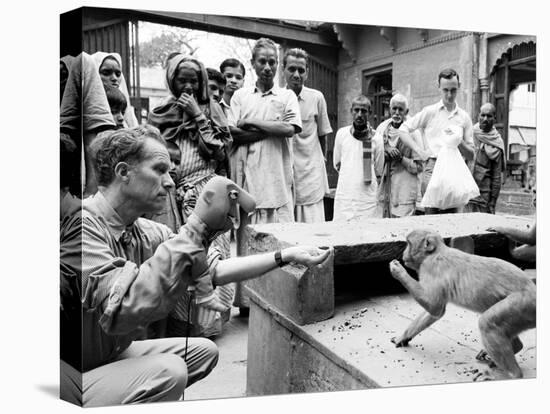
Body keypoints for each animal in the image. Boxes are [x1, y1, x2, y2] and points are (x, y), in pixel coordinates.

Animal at [390, 228, 536, 380]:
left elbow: (434, 307)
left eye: (408, 243)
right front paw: (403, 337)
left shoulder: (430, 268)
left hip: (523, 305)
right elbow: (435, 313)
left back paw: (513, 374)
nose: (403, 253)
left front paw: (398, 271)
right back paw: (515, 348)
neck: (435, 253)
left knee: (487, 323)